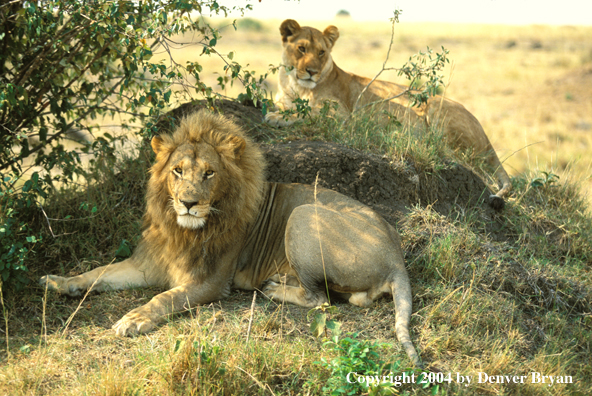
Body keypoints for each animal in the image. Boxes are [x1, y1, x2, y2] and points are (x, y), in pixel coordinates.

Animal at [39, 110, 420, 366]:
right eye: (177, 171)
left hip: (301, 215)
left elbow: (165, 298)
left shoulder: (210, 282)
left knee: (321, 299)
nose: (189, 203)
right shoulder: (148, 263)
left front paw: (134, 319)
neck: (183, 230)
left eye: (209, 173)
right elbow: (99, 273)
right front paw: (59, 282)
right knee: (351, 298)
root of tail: (397, 257)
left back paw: (275, 288)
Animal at [266, 18, 512, 210]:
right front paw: (277, 112)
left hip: (438, 112)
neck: (296, 86)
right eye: (301, 49)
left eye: (321, 52)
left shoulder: (341, 115)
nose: (312, 72)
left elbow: (307, 112)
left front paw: (275, 118)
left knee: (473, 168)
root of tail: (486, 135)